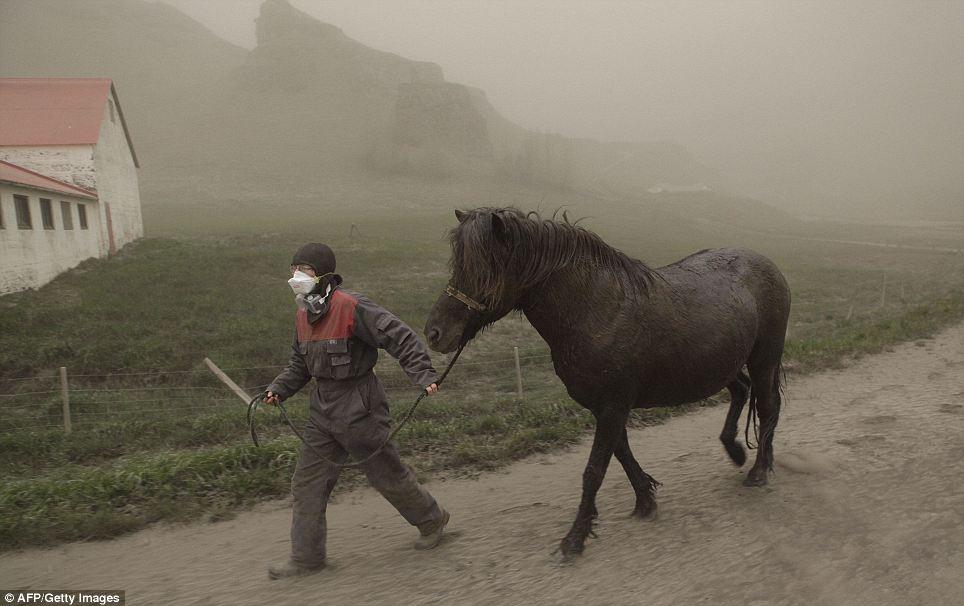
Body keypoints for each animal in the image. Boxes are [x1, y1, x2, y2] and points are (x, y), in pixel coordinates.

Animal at [426, 208, 788, 560]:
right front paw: (645, 500)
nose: (434, 333)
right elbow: (621, 453)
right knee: (744, 392)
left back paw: (758, 470)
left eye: (484, 269)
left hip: (763, 360)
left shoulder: (613, 407)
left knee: (767, 406)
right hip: (724, 365)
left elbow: (594, 470)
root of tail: (768, 265)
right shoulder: (605, 408)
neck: (597, 311)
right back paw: (738, 452)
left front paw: (574, 538)